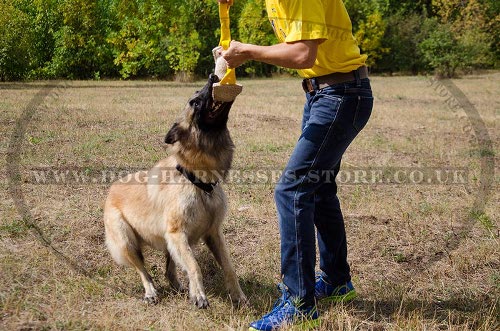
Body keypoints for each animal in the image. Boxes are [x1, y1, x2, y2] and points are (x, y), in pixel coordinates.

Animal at [103, 74, 246, 308]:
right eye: (194, 102)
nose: (213, 76)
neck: (198, 182)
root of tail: (111, 190)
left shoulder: (213, 234)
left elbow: (229, 267)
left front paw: (238, 296)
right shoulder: (178, 234)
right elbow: (195, 267)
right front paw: (199, 295)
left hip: (167, 241)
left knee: (169, 271)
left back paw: (178, 287)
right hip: (127, 242)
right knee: (143, 271)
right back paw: (151, 292)